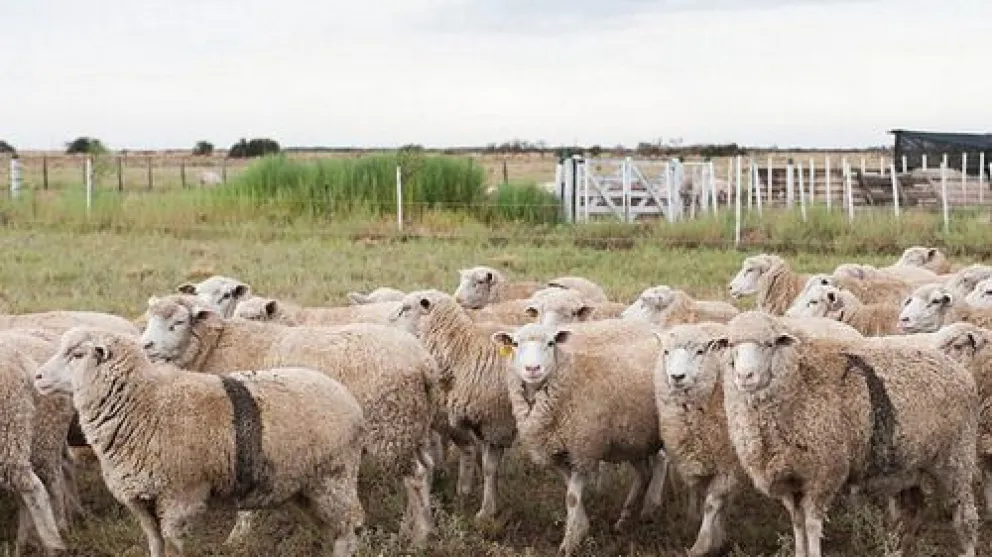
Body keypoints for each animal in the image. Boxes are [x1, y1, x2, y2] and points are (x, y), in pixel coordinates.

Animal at [34, 327, 366, 557]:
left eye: (77, 354)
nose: (37, 377)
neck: (146, 403)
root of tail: (348, 398)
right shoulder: (142, 500)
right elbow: (155, 546)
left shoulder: (179, 497)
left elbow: (173, 548)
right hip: (302, 486)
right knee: (331, 529)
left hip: (334, 476)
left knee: (349, 529)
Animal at [140, 294, 440, 545]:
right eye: (150, 320)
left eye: (178, 322)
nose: (146, 345)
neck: (215, 347)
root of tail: (424, 361)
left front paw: (239, 535)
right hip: (413, 424)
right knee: (426, 469)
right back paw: (416, 526)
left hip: (390, 425)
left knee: (415, 476)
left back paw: (418, 537)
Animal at [491, 323, 664, 556]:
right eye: (515, 344)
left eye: (551, 343)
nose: (533, 369)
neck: (569, 383)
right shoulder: (555, 453)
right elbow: (570, 491)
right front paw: (581, 528)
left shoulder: (583, 450)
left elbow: (571, 498)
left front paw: (569, 543)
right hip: (633, 438)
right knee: (644, 473)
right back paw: (624, 520)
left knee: (659, 463)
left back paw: (648, 510)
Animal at [654, 322, 749, 557]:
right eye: (666, 352)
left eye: (700, 351)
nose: (677, 377)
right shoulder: (696, 460)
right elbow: (701, 495)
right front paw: (709, 532)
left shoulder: (728, 464)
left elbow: (712, 504)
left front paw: (703, 543)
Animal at [715, 311, 979, 557]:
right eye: (730, 345)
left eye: (770, 344)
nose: (745, 377)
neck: (800, 384)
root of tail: (959, 370)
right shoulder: (790, 481)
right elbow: (797, 524)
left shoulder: (824, 473)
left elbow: (812, 525)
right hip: (912, 465)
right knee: (913, 514)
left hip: (957, 456)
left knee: (965, 515)